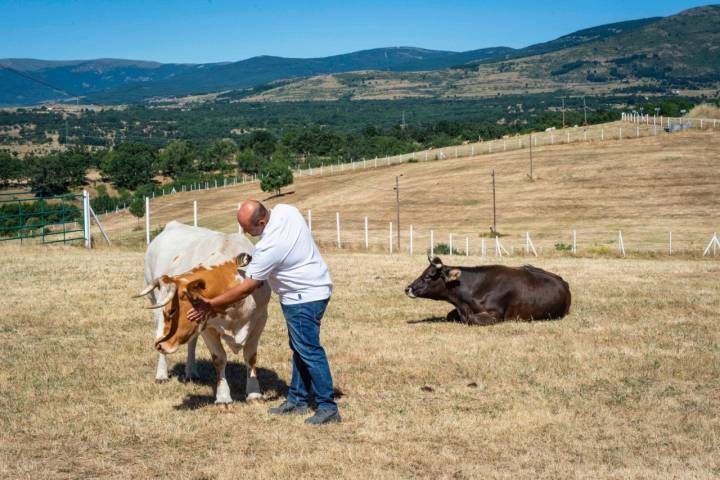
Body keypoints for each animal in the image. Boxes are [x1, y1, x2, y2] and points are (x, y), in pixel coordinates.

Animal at [134, 222, 270, 404]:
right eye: (167, 311)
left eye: (172, 310)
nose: (159, 345)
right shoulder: (208, 327)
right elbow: (219, 358)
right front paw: (223, 397)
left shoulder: (260, 319)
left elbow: (250, 356)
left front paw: (254, 393)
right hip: (154, 302)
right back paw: (162, 374)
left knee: (191, 343)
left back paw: (191, 371)